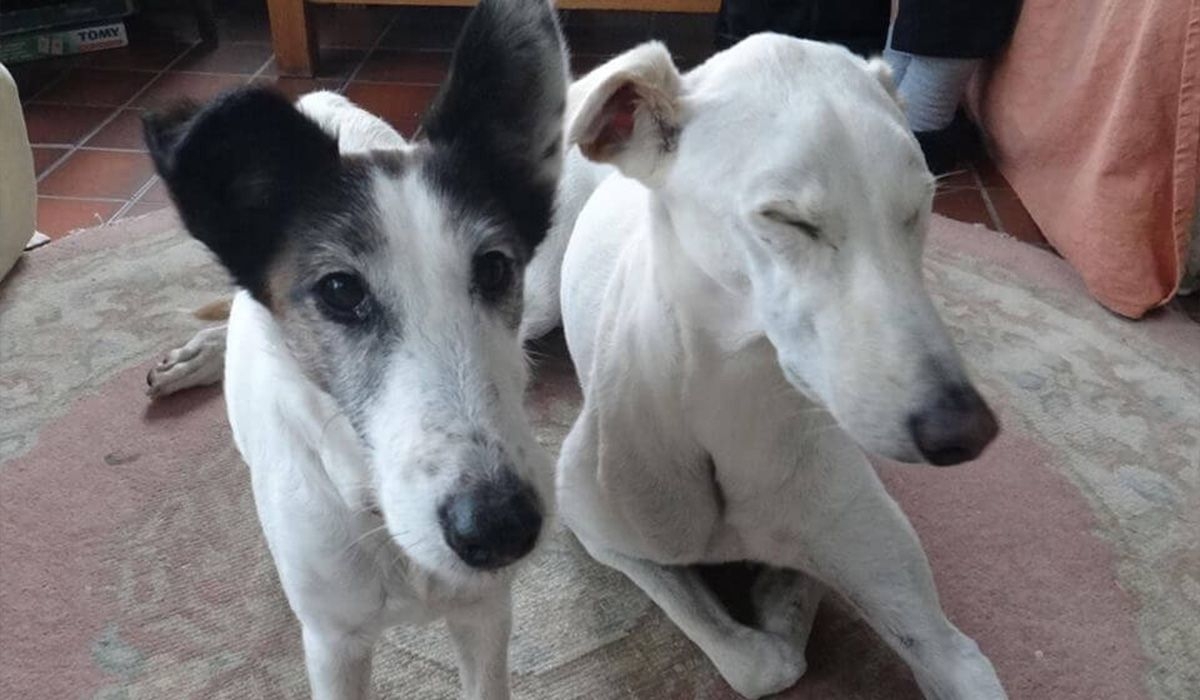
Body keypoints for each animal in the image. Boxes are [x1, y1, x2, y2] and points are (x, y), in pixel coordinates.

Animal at [139, 0, 566, 696]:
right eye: (341, 290)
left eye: (496, 268)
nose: (501, 526)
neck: (383, 518)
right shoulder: (333, 644)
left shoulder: (485, 613)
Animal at [549, 39, 1003, 700]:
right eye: (789, 220)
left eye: (920, 208)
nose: (965, 430)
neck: (729, 404)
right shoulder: (596, 527)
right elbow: (758, 663)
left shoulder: (943, 640)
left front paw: (782, 589)